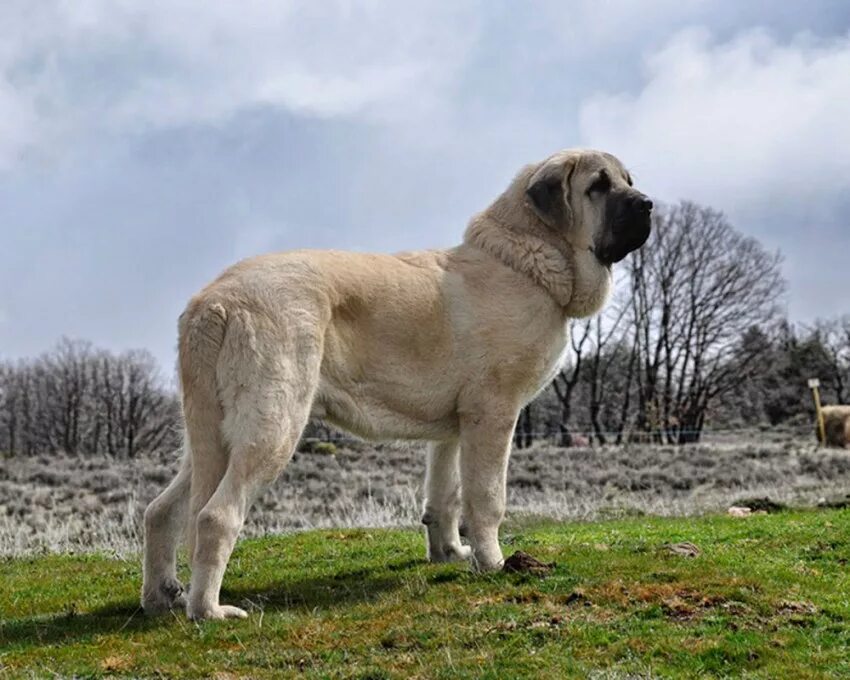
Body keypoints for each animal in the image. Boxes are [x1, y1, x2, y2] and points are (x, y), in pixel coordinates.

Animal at [142, 149, 652, 620]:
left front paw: (450, 553)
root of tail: (215, 302)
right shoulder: (494, 413)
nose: (647, 204)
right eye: (598, 186)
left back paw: (161, 598)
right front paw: (493, 563)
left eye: (628, 180)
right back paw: (208, 610)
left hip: (210, 435)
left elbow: (444, 496)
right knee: (214, 516)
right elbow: (486, 497)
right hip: (273, 426)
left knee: (161, 511)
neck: (526, 261)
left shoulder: (455, 428)